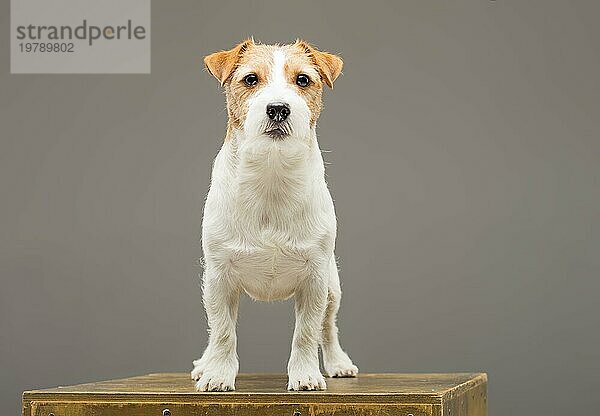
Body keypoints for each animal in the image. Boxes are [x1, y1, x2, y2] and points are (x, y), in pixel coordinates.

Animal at [192, 38, 356, 390]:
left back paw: (338, 363)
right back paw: (204, 364)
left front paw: (305, 375)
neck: (271, 173)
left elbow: (307, 332)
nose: (278, 108)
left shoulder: (314, 278)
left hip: (332, 288)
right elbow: (222, 331)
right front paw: (217, 374)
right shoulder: (219, 277)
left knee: (328, 327)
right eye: (251, 79)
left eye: (303, 80)